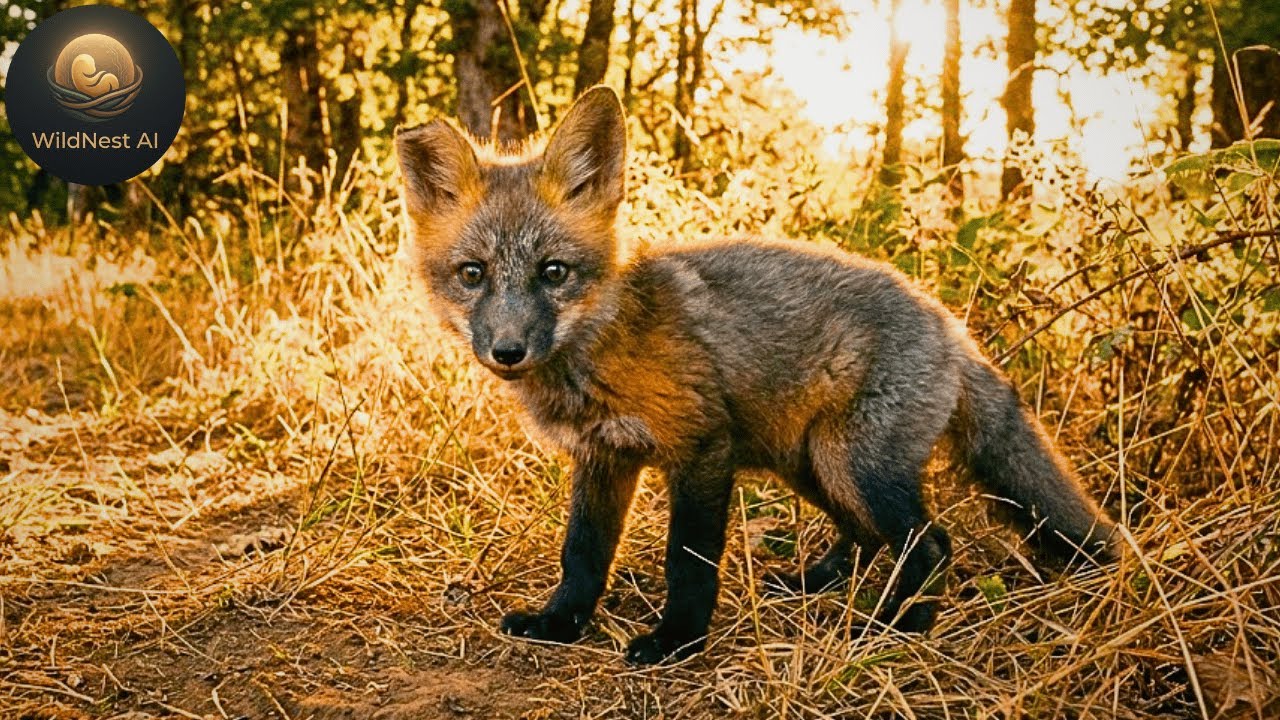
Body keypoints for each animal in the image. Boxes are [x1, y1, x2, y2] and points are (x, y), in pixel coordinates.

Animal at [395, 86, 1118, 665]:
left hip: (854, 466)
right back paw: (812, 585)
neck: (599, 353)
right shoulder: (604, 457)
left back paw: (891, 630)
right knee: (866, 540)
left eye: (553, 272)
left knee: (931, 545)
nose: (508, 350)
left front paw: (677, 643)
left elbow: (687, 562)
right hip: (811, 465)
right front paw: (560, 623)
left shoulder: (702, 448)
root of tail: (950, 324)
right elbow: (583, 556)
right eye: (472, 274)